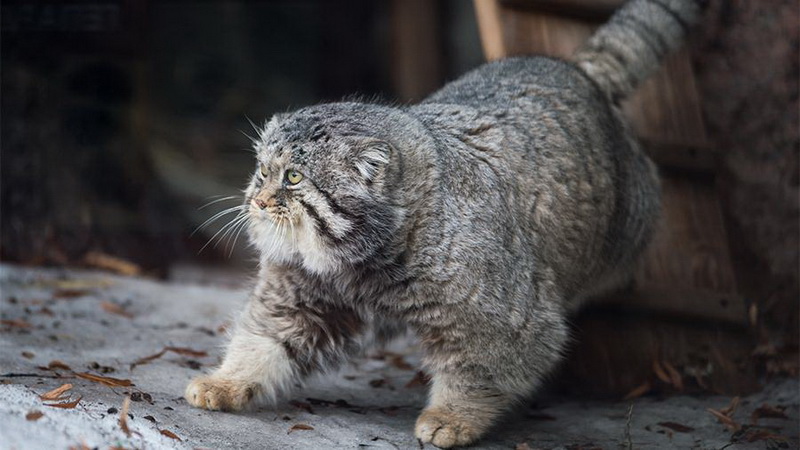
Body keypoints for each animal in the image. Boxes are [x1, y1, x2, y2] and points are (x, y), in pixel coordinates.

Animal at [184, 0, 704, 446]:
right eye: (261, 170)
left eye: (292, 177)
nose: (255, 199)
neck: (364, 265)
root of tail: (577, 70)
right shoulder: (300, 294)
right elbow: (262, 340)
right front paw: (226, 382)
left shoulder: (503, 322)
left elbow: (479, 372)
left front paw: (452, 418)